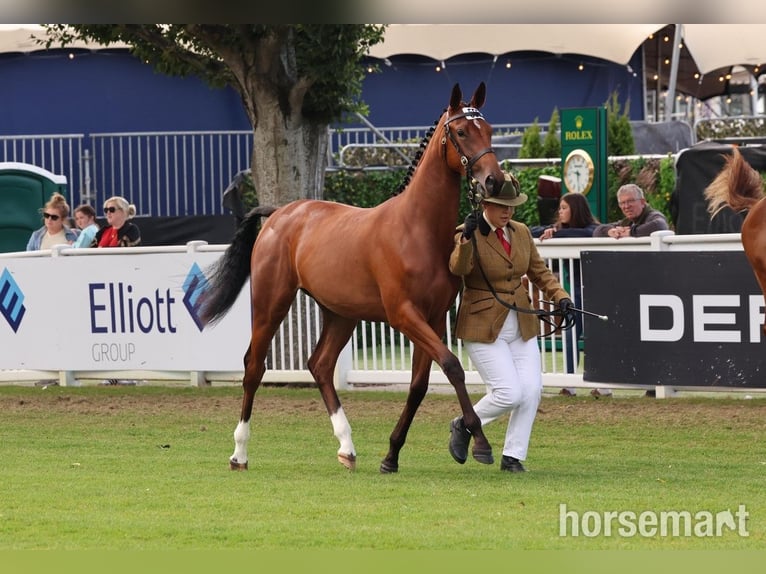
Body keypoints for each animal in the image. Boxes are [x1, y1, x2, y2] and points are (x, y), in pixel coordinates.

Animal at [200, 82, 505, 473]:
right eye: (462, 132)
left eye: (490, 130)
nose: (494, 181)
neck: (417, 228)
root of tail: (279, 214)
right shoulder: (404, 315)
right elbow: (452, 366)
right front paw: (479, 443)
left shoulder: (434, 318)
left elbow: (419, 385)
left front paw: (391, 455)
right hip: (271, 304)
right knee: (254, 366)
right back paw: (239, 453)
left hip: (341, 314)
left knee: (320, 365)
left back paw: (347, 447)